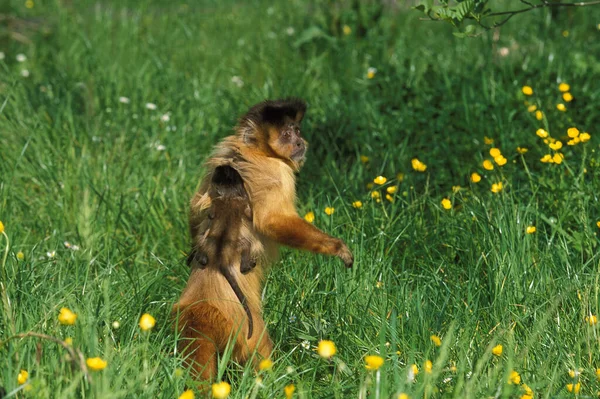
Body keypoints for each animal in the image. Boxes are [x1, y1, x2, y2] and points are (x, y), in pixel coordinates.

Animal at [185, 165, 255, 338]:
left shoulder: (218, 203)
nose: (224, 165)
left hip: (210, 243)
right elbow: (249, 214)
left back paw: (198, 257)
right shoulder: (242, 201)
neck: (228, 194)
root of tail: (221, 257)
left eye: (228, 171)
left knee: (202, 244)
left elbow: (211, 215)